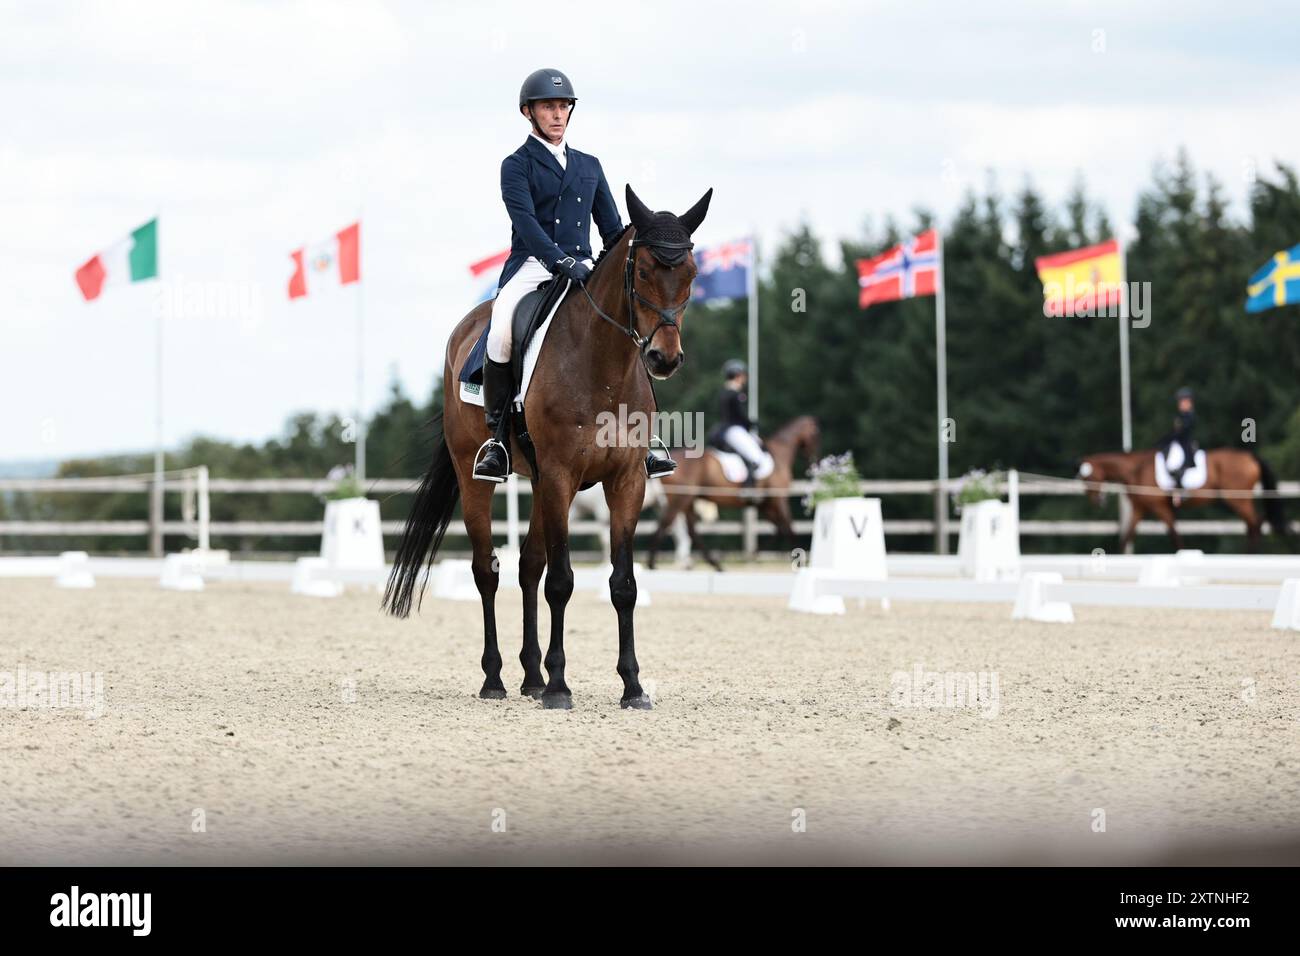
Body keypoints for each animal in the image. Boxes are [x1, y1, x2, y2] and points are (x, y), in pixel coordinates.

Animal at [379, 187, 717, 712]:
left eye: (692, 274)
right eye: (643, 271)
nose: (664, 359)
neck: (604, 366)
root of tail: (467, 329)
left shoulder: (626, 481)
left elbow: (623, 584)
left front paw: (632, 687)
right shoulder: (561, 476)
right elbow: (561, 581)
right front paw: (560, 687)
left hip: (539, 483)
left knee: (526, 567)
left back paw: (531, 677)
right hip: (479, 476)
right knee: (487, 570)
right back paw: (496, 679)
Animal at [644, 416, 816, 567]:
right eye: (816, 435)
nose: (812, 464)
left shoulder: (765, 505)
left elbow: (780, 528)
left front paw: (754, 554)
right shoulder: (778, 499)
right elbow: (789, 528)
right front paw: (800, 560)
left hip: (687, 501)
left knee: (689, 531)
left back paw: (714, 564)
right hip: (680, 499)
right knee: (666, 526)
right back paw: (653, 564)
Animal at [1076, 450, 1289, 554]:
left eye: (1088, 477)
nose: (1096, 501)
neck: (1136, 469)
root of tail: (1250, 456)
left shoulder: (1160, 507)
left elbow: (1175, 536)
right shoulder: (1140, 508)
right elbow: (1127, 537)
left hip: (1237, 498)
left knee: (1255, 523)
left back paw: (1250, 554)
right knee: (1253, 524)